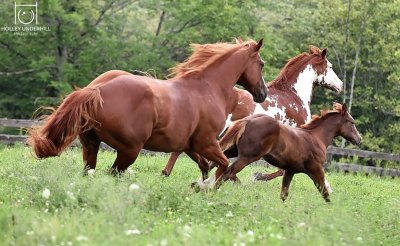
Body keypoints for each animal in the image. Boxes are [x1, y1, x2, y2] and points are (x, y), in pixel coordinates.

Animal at [26, 39, 268, 181]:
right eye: (262, 63)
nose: (263, 93)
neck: (208, 88)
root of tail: (96, 89)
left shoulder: (189, 146)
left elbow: (205, 167)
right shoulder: (206, 143)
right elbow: (224, 165)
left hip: (91, 145)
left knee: (89, 173)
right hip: (129, 150)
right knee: (112, 175)